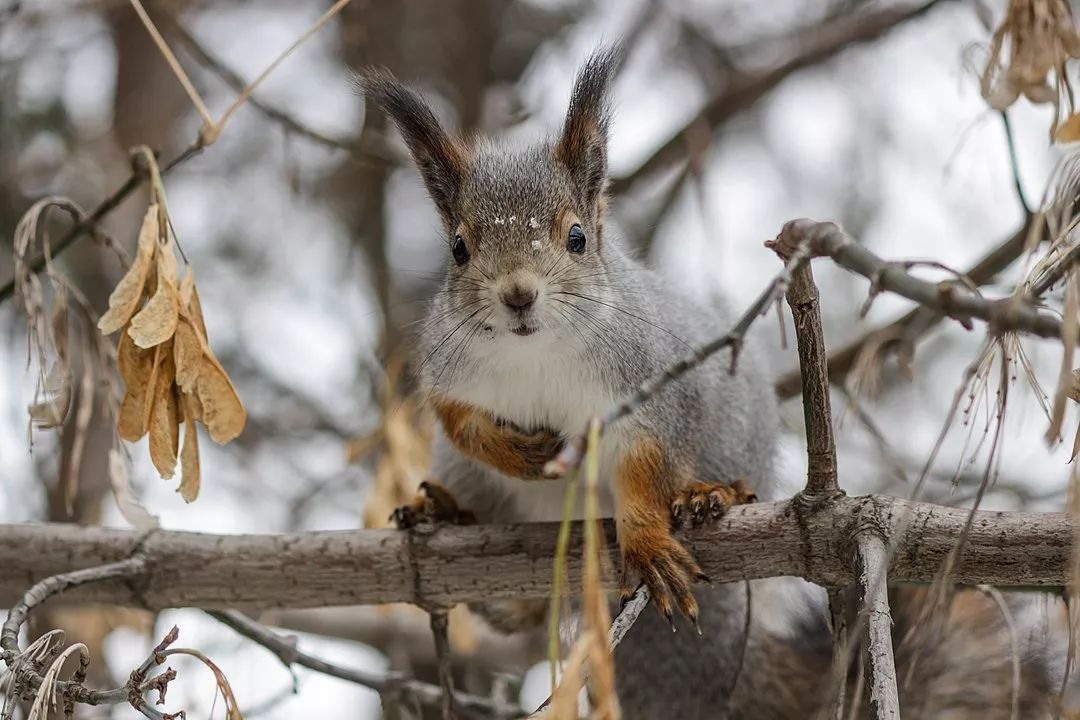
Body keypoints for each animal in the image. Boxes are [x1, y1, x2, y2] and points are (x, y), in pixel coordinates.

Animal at [360, 50, 1054, 720]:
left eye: (577, 237)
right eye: (458, 248)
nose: (518, 295)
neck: (536, 353)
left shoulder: (649, 385)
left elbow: (646, 460)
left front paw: (647, 539)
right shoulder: (450, 370)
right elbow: (459, 421)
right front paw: (517, 452)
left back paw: (710, 496)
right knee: (520, 595)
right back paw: (446, 513)